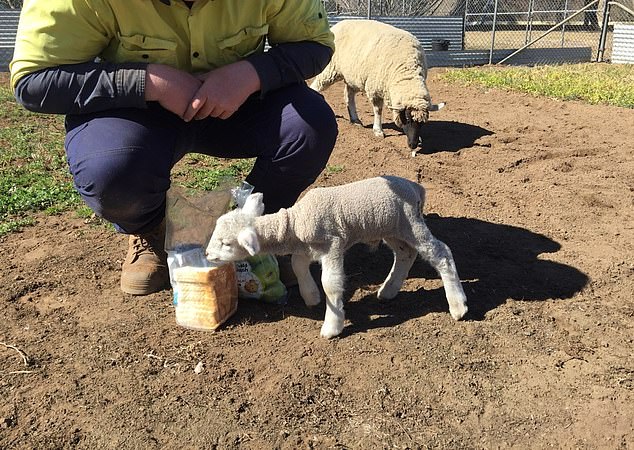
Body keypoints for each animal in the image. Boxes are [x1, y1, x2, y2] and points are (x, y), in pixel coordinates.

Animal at [205, 176, 466, 338]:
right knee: (406, 253)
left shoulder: (333, 244)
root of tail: (415, 187)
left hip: (410, 223)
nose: (207, 254)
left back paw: (458, 306)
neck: (295, 222)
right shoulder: (306, 248)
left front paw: (332, 326)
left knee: (441, 253)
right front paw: (310, 296)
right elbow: (297, 266)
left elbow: (331, 284)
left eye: (226, 243)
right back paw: (388, 290)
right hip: (389, 228)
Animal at [310, 18, 444, 156]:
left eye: (423, 122)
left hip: (353, 76)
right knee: (316, 85)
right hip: (331, 68)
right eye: (407, 117)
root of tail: (340, 23)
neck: (407, 71)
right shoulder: (375, 89)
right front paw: (378, 131)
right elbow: (378, 111)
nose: (413, 144)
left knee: (349, 96)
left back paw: (355, 120)